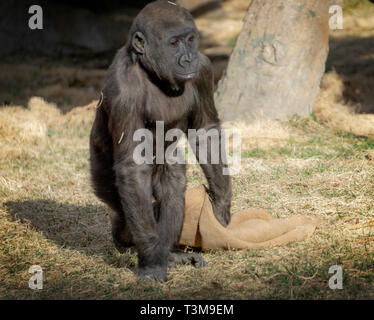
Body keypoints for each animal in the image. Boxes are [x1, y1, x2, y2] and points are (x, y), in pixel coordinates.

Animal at [90, 0, 231, 282]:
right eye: (174, 43)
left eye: (190, 39)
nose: (188, 58)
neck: (150, 71)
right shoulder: (124, 91)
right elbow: (132, 166)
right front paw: (152, 261)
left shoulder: (204, 69)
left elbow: (206, 131)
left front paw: (221, 206)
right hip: (100, 174)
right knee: (123, 207)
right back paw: (133, 242)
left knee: (173, 183)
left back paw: (170, 253)